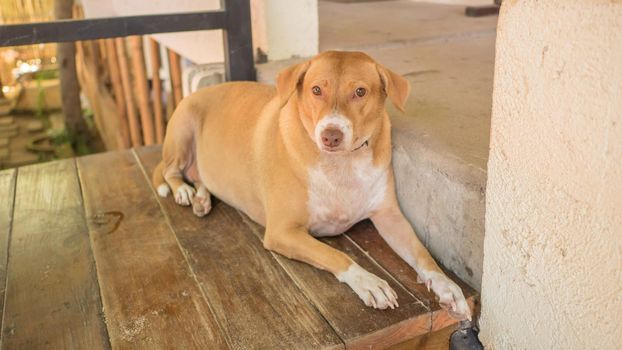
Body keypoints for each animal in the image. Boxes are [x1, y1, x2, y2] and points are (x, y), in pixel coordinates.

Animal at [154, 50, 470, 320]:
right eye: (316, 90)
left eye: (360, 92)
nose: (331, 135)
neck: (341, 164)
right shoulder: (282, 232)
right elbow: (336, 254)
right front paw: (368, 281)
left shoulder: (390, 216)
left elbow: (422, 254)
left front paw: (446, 285)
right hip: (182, 130)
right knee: (169, 170)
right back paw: (183, 191)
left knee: (199, 177)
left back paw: (201, 198)